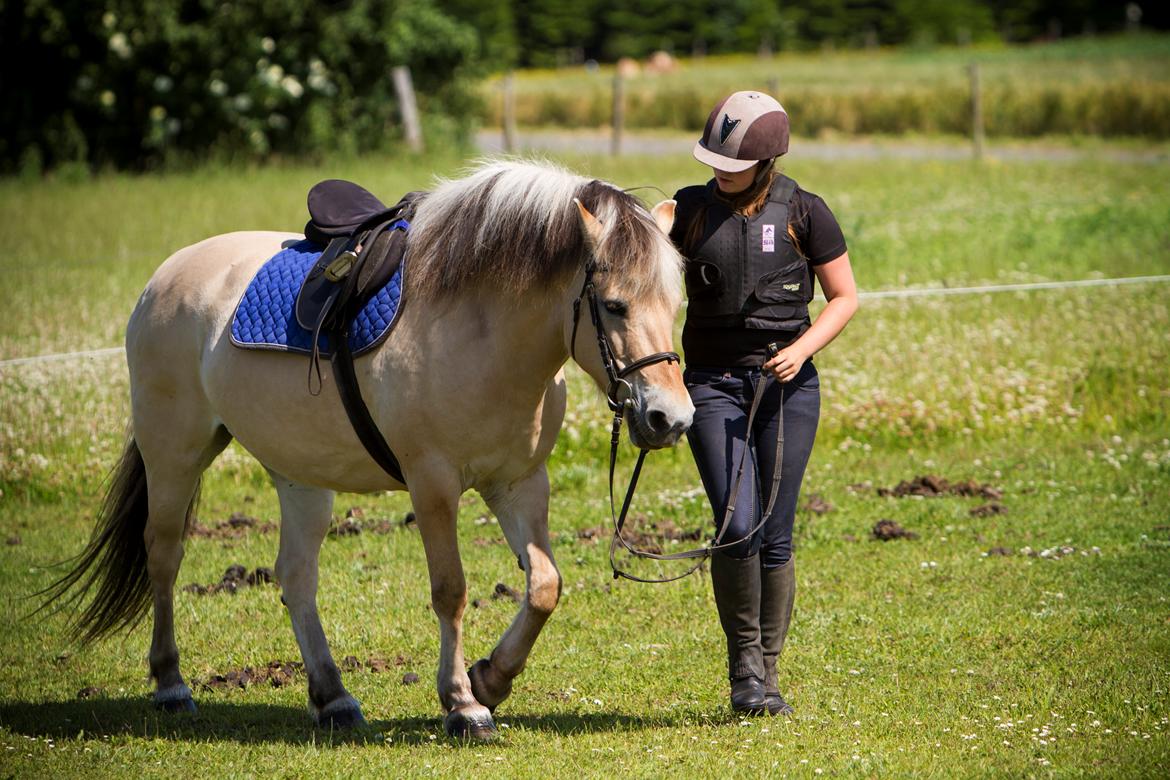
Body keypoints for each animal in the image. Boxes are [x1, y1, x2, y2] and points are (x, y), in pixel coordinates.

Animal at [38, 156, 692, 739]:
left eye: (675, 303)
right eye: (614, 305)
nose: (671, 417)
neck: (481, 329)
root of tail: (165, 276)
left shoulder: (519, 483)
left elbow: (544, 585)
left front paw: (491, 679)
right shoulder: (433, 484)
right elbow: (451, 590)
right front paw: (463, 705)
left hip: (299, 474)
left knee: (295, 576)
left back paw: (333, 698)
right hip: (174, 451)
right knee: (164, 555)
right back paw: (172, 684)